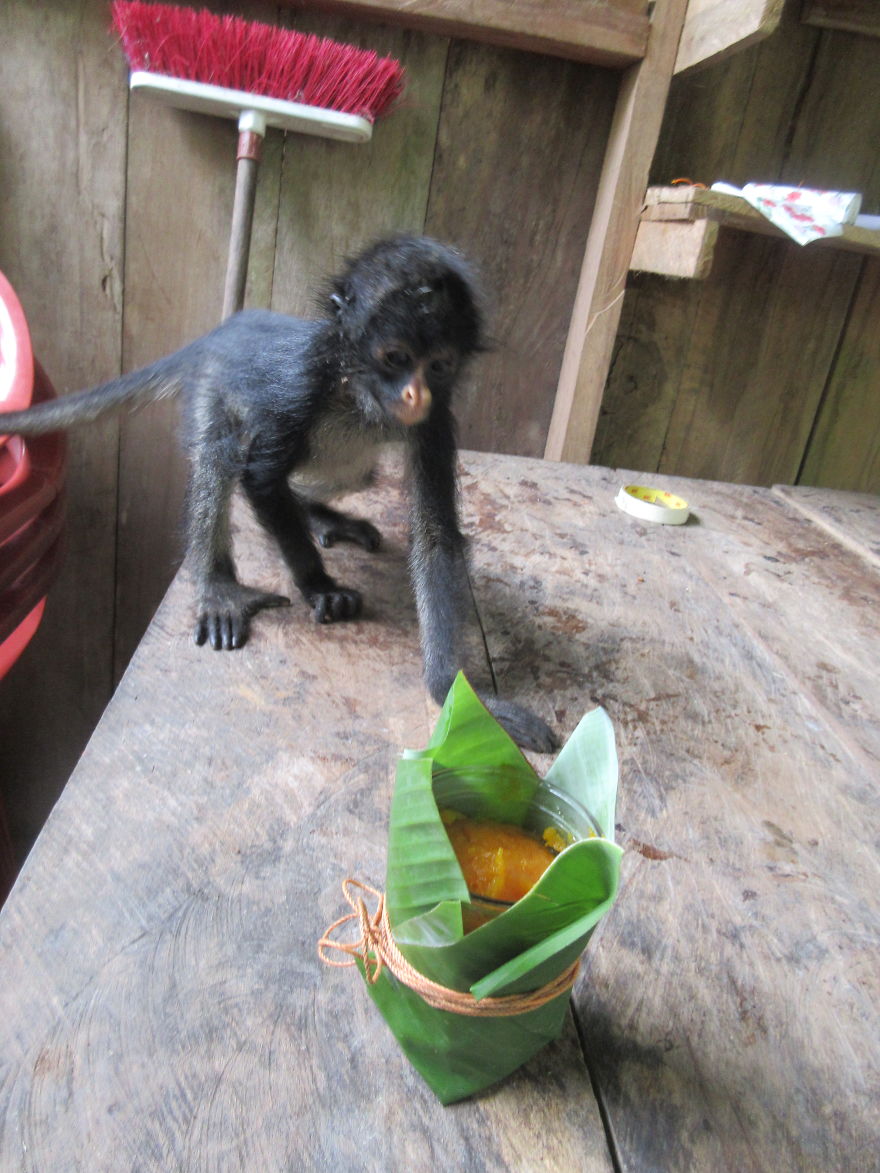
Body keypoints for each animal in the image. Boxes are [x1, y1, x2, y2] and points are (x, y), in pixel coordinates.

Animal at [0, 236, 556, 752]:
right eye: (395, 357)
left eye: (438, 366)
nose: (414, 393)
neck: (358, 396)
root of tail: (227, 329)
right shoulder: (302, 385)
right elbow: (261, 480)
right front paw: (321, 587)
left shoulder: (434, 417)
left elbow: (437, 534)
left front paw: (460, 693)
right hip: (214, 385)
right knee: (223, 452)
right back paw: (219, 585)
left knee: (351, 473)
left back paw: (319, 515)